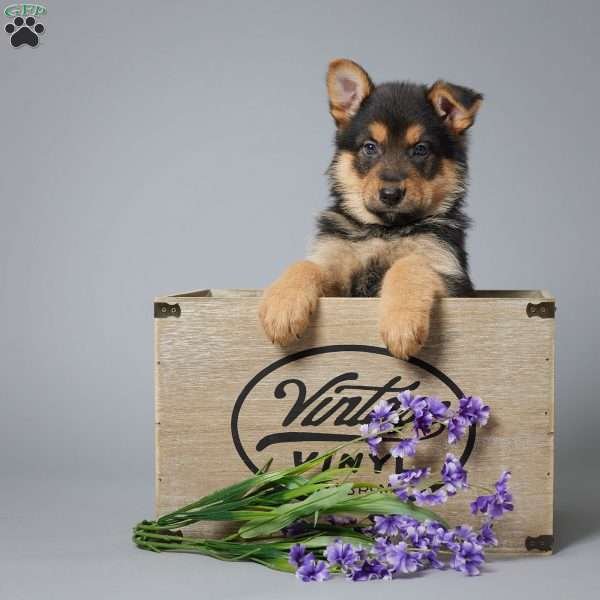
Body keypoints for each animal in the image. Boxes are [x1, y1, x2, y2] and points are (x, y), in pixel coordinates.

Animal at [259, 59, 482, 359]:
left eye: (420, 149)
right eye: (370, 147)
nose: (390, 194)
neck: (384, 230)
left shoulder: (453, 279)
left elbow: (410, 264)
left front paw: (401, 323)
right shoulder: (338, 280)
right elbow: (307, 265)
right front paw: (282, 305)